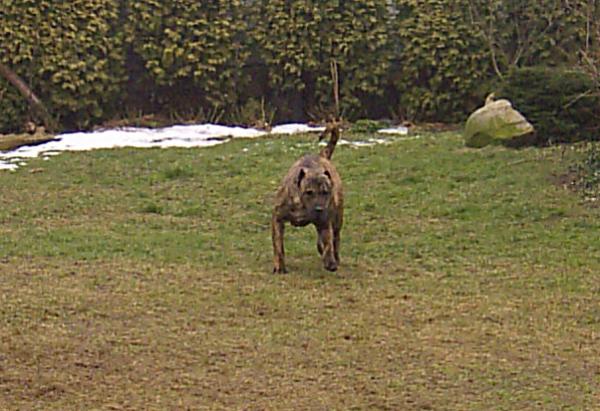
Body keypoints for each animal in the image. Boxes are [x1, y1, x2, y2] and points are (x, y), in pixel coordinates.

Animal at [270, 125, 342, 274]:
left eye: (325, 192)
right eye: (309, 192)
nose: (319, 208)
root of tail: (321, 155)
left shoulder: (325, 221)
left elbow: (328, 242)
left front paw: (329, 261)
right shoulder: (277, 218)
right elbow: (278, 245)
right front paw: (279, 265)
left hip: (337, 217)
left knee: (335, 238)